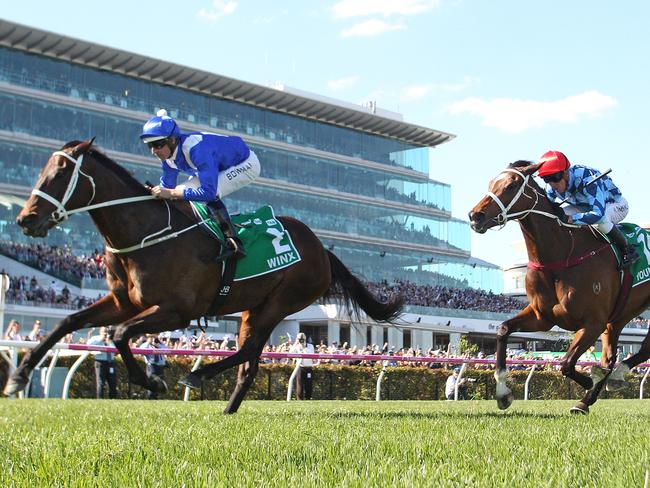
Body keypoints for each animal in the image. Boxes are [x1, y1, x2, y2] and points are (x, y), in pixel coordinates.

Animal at [3, 140, 400, 412]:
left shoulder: (177, 311)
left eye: (59, 173)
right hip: (252, 308)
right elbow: (68, 322)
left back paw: (198, 375)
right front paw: (18, 377)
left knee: (249, 350)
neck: (145, 235)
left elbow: (119, 334)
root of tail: (322, 249)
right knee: (250, 360)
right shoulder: (123, 302)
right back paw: (228, 407)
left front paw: (151, 381)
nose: (25, 219)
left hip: (281, 301)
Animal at [468, 162, 644, 414]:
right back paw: (596, 392)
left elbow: (566, 363)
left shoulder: (593, 323)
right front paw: (503, 393)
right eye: (491, 183)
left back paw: (612, 378)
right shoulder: (542, 317)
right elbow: (503, 329)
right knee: (611, 356)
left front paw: (589, 379)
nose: (475, 216)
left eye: (511, 186)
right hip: (620, 316)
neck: (562, 255)